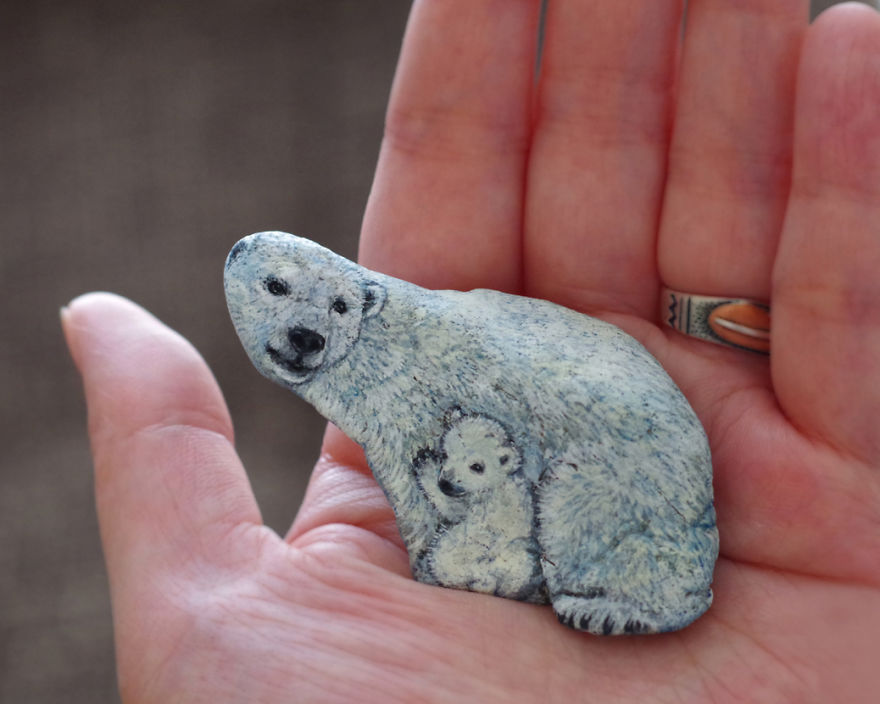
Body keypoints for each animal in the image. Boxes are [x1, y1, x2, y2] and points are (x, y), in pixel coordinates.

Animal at [412, 410, 545, 603]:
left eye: (477, 466)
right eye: (445, 453)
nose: (446, 484)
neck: (498, 483)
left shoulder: (481, 502)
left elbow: (452, 508)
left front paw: (425, 464)